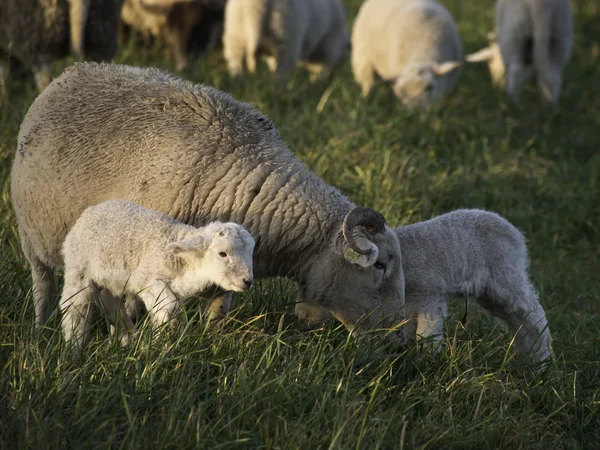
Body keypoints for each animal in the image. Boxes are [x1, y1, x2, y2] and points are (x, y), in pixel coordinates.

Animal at [57, 200, 252, 352]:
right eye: (222, 254)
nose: (247, 281)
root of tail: (91, 210)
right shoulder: (146, 279)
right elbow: (168, 308)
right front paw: (162, 345)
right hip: (78, 270)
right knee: (74, 310)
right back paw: (74, 351)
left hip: (109, 281)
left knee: (113, 308)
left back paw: (127, 339)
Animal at [296, 210, 552, 362]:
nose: (304, 316)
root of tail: (515, 232)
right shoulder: (408, 305)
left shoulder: (430, 297)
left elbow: (427, 335)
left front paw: (428, 361)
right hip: (491, 294)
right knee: (518, 322)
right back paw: (530, 359)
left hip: (507, 277)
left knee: (533, 314)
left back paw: (543, 360)